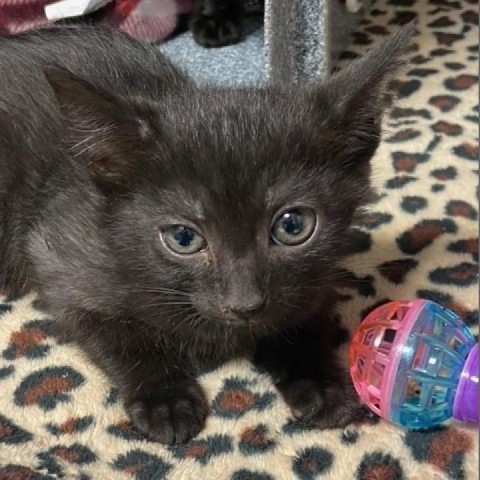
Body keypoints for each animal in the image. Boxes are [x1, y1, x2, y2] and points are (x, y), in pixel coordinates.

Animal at [0, 22, 412, 442]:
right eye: (184, 239)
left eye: (293, 226)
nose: (244, 303)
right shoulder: (57, 256)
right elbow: (116, 335)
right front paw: (165, 398)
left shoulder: (314, 279)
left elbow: (302, 318)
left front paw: (320, 381)